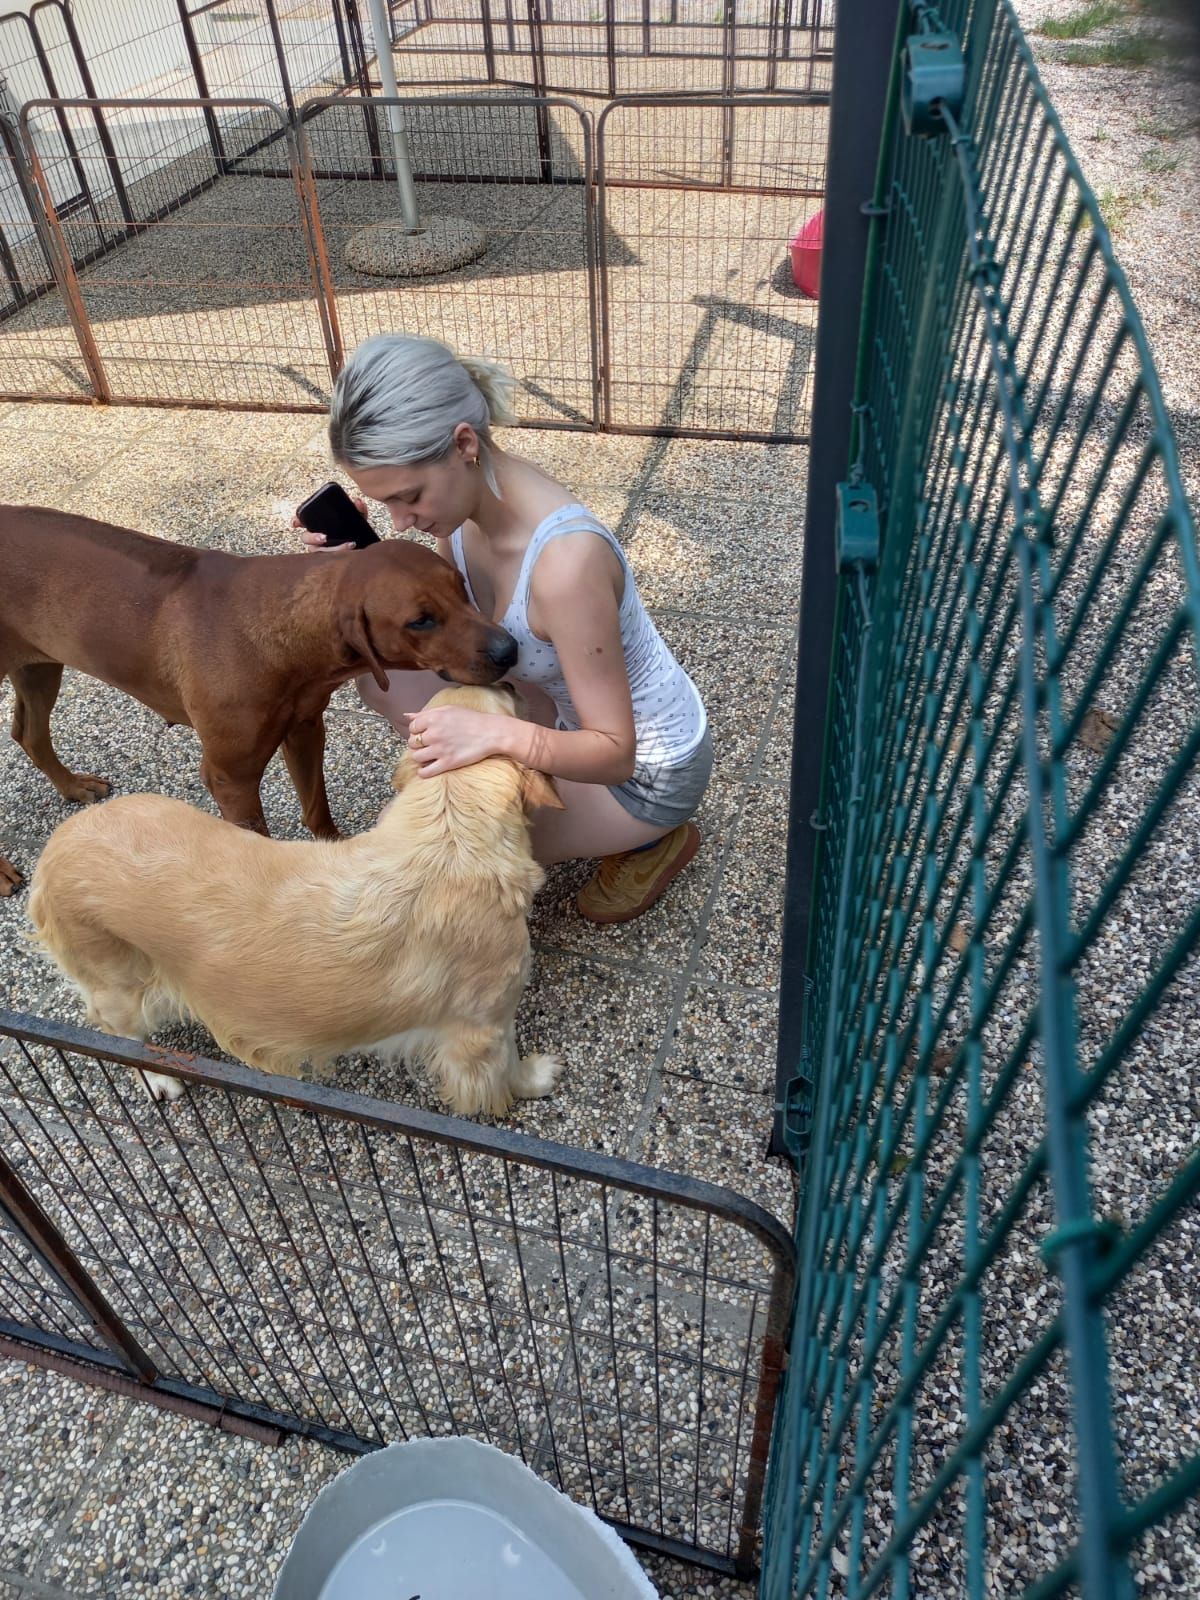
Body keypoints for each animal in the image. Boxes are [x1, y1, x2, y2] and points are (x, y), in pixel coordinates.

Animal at [0, 505, 518, 895]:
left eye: (461, 587)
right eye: (420, 621)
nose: (509, 650)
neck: (277, 628)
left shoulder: (306, 729)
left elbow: (316, 805)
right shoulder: (231, 778)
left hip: (39, 665)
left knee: (28, 733)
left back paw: (72, 786)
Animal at [28, 684, 563, 1116]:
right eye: (507, 702)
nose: (507, 677)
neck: (449, 826)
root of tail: (55, 846)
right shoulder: (486, 1025)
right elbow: (504, 1070)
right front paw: (535, 1078)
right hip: (121, 987)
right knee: (115, 1033)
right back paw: (159, 1077)